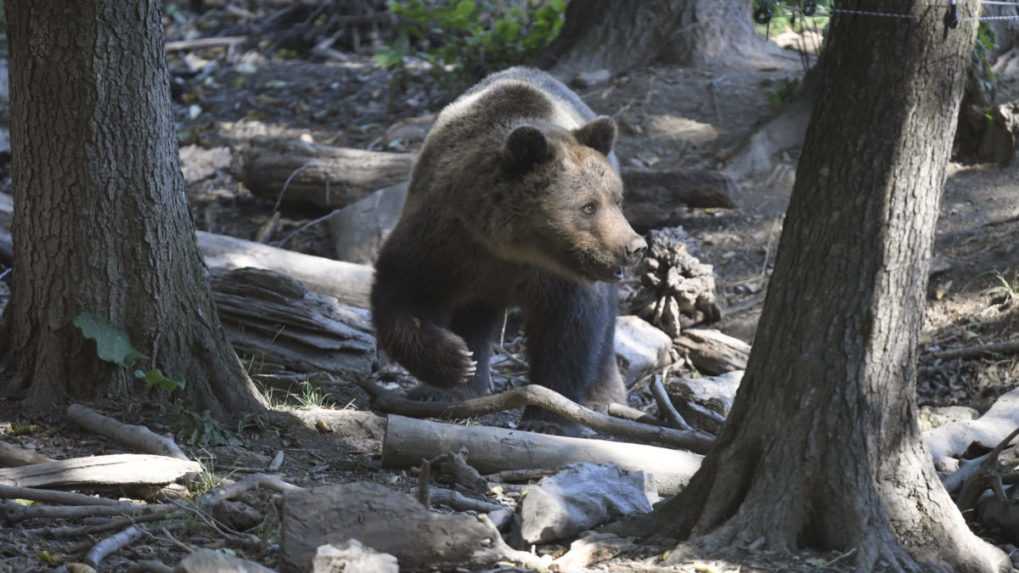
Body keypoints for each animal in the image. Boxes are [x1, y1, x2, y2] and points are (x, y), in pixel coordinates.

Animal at [372, 66, 644, 430]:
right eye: (588, 206)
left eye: (617, 198)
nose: (634, 246)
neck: (509, 246)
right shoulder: (443, 241)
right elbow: (402, 293)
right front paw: (454, 362)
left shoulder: (560, 279)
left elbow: (569, 332)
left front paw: (549, 417)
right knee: (474, 315)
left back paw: (604, 396)